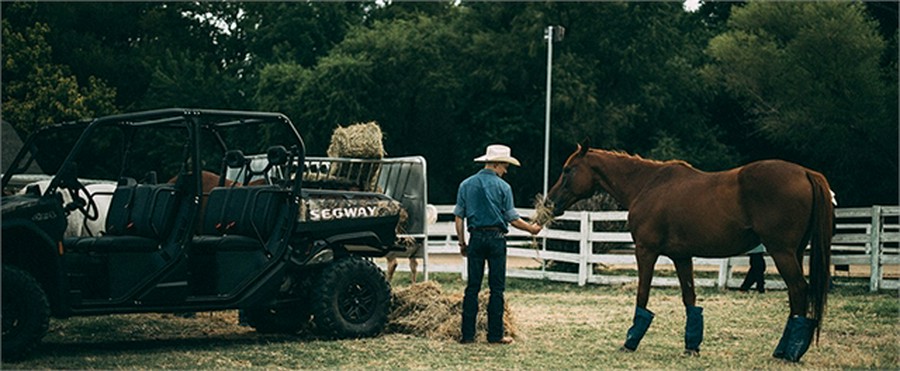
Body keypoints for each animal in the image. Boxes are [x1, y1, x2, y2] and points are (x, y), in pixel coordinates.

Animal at [544, 142, 832, 364]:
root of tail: (806, 172)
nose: (549, 202)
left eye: (567, 170)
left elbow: (642, 295)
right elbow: (690, 298)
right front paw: (692, 346)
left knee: (798, 290)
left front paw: (630, 341)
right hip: (794, 252)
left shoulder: (646, 251)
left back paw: (789, 353)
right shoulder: (681, 257)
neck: (647, 185)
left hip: (782, 252)